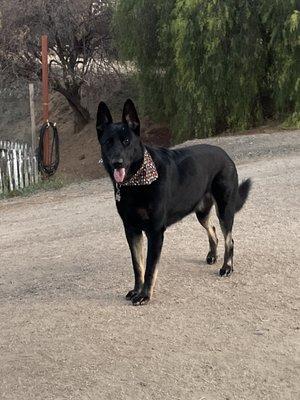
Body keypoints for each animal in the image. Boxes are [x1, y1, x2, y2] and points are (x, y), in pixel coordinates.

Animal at [96, 100, 251, 306]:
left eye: (126, 141)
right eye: (108, 142)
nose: (117, 163)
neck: (137, 181)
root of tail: (226, 155)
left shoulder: (155, 232)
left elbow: (149, 268)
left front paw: (145, 295)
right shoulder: (132, 231)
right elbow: (138, 266)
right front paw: (137, 290)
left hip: (224, 210)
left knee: (229, 239)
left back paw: (227, 267)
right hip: (201, 212)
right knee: (213, 230)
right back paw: (212, 255)